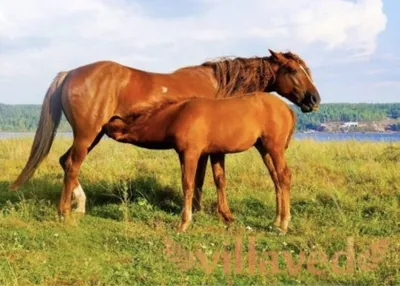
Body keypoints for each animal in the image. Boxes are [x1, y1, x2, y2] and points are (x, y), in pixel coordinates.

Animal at [104, 91, 296, 232]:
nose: (103, 127)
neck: (178, 115)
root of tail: (287, 108)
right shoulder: (211, 153)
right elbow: (207, 182)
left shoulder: (190, 154)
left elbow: (188, 185)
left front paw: (184, 223)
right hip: (264, 149)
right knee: (276, 179)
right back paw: (276, 220)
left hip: (275, 148)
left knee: (284, 176)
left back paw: (284, 224)